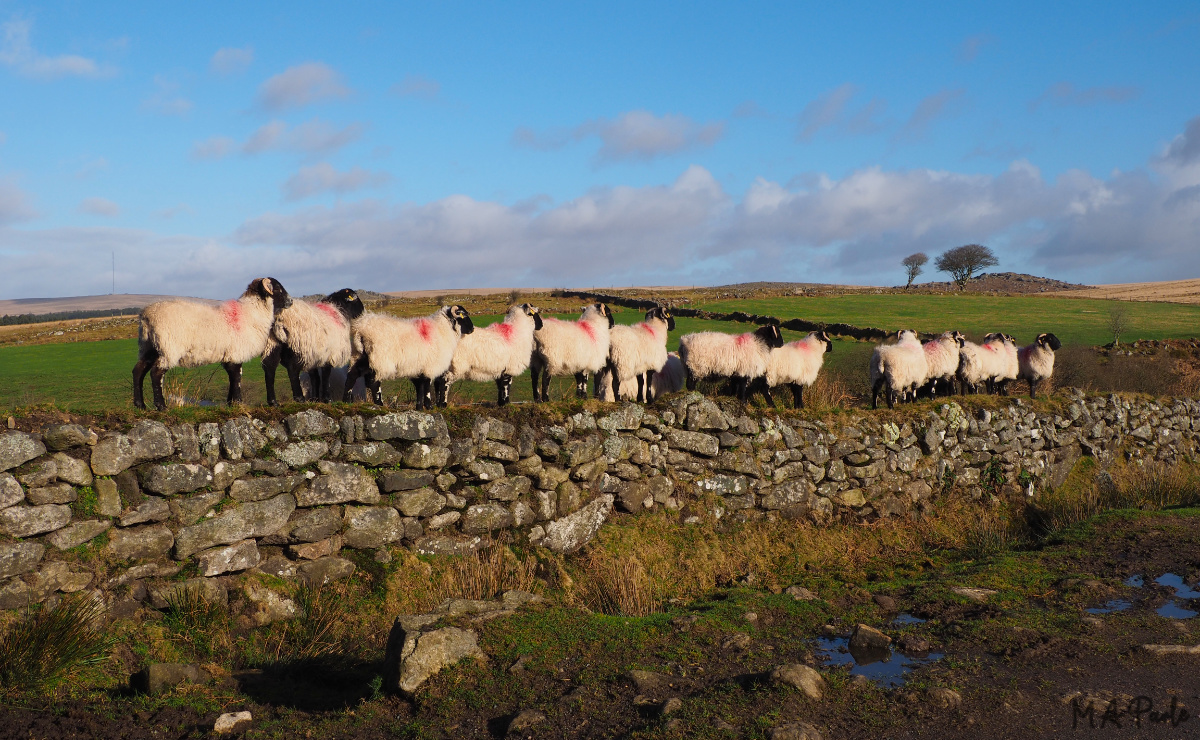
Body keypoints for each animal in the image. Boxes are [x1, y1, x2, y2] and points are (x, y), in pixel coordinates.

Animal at [132, 279, 291, 412]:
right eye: (278, 288)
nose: (290, 301)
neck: (252, 313)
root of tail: (146, 315)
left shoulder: (229, 356)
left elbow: (232, 377)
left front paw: (230, 403)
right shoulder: (236, 352)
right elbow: (237, 377)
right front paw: (238, 403)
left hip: (149, 347)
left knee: (138, 371)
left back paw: (140, 405)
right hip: (168, 348)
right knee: (156, 373)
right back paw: (161, 406)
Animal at [343, 305, 472, 410]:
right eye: (463, 315)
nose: (472, 329)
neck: (443, 330)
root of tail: (360, 330)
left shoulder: (418, 369)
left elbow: (419, 387)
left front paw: (419, 407)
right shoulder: (429, 366)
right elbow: (427, 386)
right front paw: (429, 406)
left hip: (359, 356)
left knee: (351, 376)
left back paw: (346, 401)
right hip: (379, 359)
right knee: (373, 382)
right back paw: (379, 404)